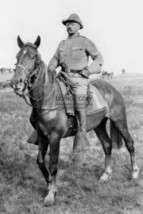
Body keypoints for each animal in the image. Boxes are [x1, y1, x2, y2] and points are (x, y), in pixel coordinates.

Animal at [10, 36, 139, 206]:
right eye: (17, 56)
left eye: (33, 57)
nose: (16, 83)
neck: (47, 98)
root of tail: (112, 89)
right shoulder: (42, 136)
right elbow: (40, 162)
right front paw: (50, 185)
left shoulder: (55, 137)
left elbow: (53, 165)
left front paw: (51, 194)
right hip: (99, 126)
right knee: (107, 145)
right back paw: (106, 174)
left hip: (120, 121)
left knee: (130, 144)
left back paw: (135, 173)